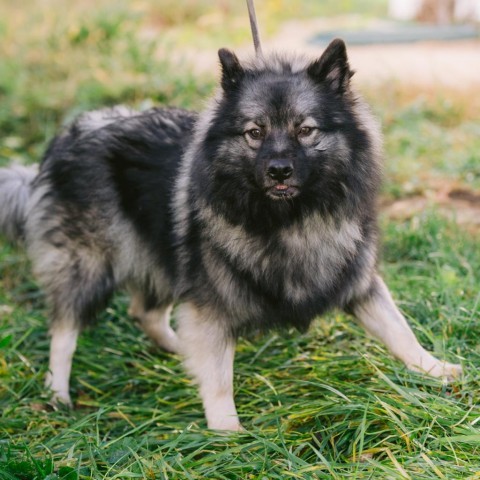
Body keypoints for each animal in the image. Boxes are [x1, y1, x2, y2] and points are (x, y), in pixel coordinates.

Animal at [1, 40, 464, 432]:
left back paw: (179, 351)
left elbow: (400, 331)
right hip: (90, 265)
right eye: (254, 132)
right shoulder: (211, 303)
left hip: (163, 255)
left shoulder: (358, 281)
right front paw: (227, 431)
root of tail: (63, 141)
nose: (279, 170)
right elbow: (219, 378)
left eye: (306, 130)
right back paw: (57, 394)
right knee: (64, 333)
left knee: (146, 314)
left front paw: (435, 370)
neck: (290, 220)